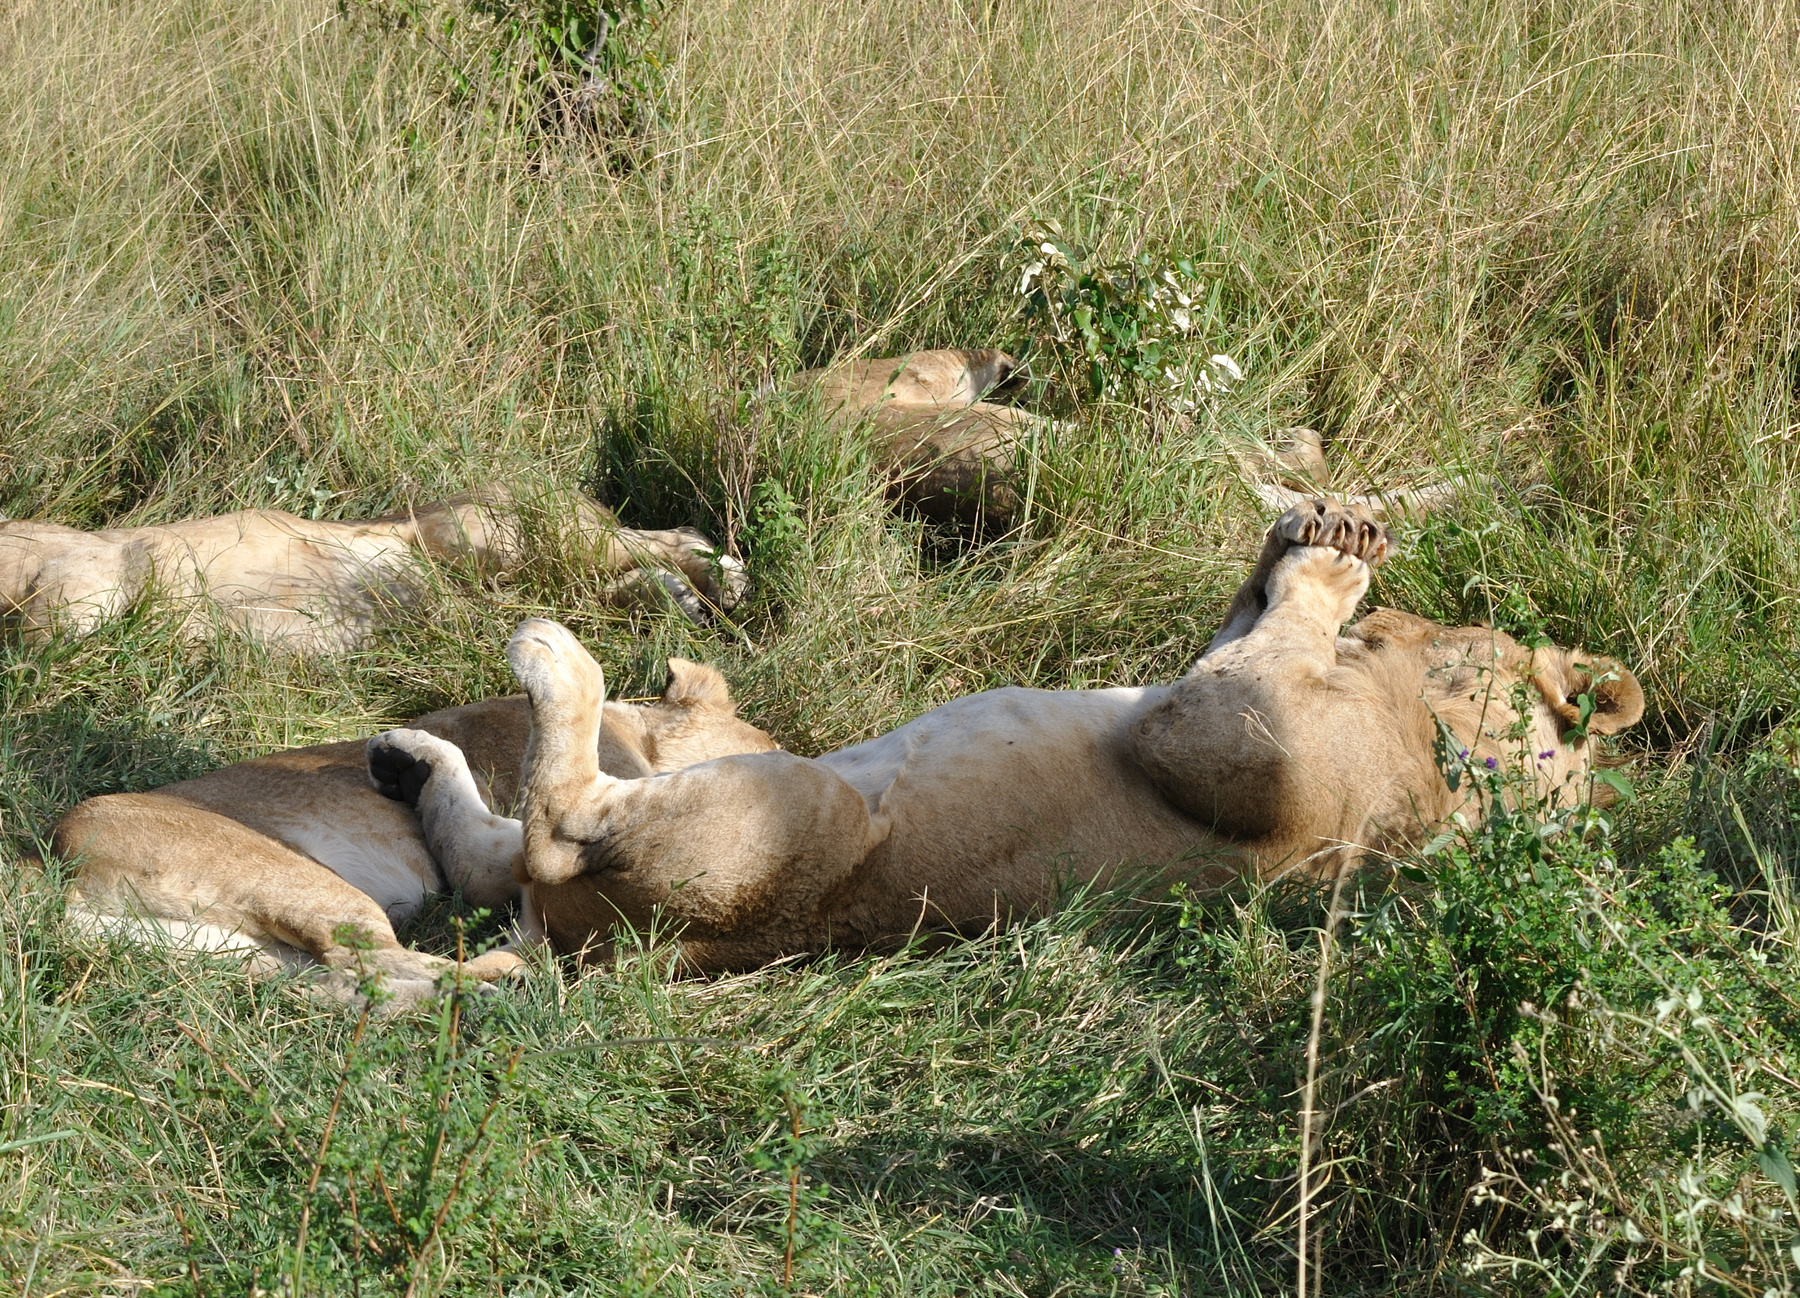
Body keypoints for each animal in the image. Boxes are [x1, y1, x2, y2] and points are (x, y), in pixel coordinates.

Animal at [52, 658, 777, 1003]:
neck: (643, 732)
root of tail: (52, 858)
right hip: (304, 884)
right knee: (376, 960)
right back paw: (504, 985)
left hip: (241, 951)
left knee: (334, 983)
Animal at [358, 498, 1644, 975]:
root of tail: (588, 947)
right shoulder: (1199, 696)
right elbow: (1242, 619)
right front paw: (1308, 533)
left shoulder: (1223, 743)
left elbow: (1269, 644)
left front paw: (1338, 560)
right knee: (492, 846)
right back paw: (407, 753)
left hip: (796, 809)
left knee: (556, 819)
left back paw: (550, 655)